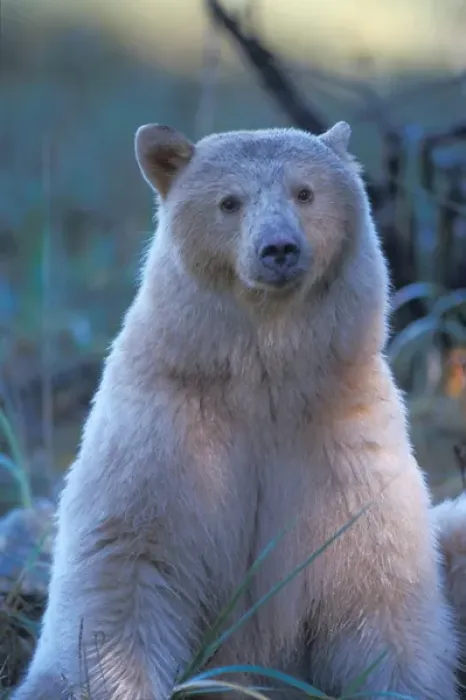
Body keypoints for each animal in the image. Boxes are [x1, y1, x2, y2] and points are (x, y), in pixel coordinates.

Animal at [12, 121, 459, 700]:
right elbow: (124, 565)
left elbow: (378, 587)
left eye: (305, 191)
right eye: (229, 201)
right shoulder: (163, 434)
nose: (279, 248)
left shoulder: (346, 443)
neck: (263, 375)